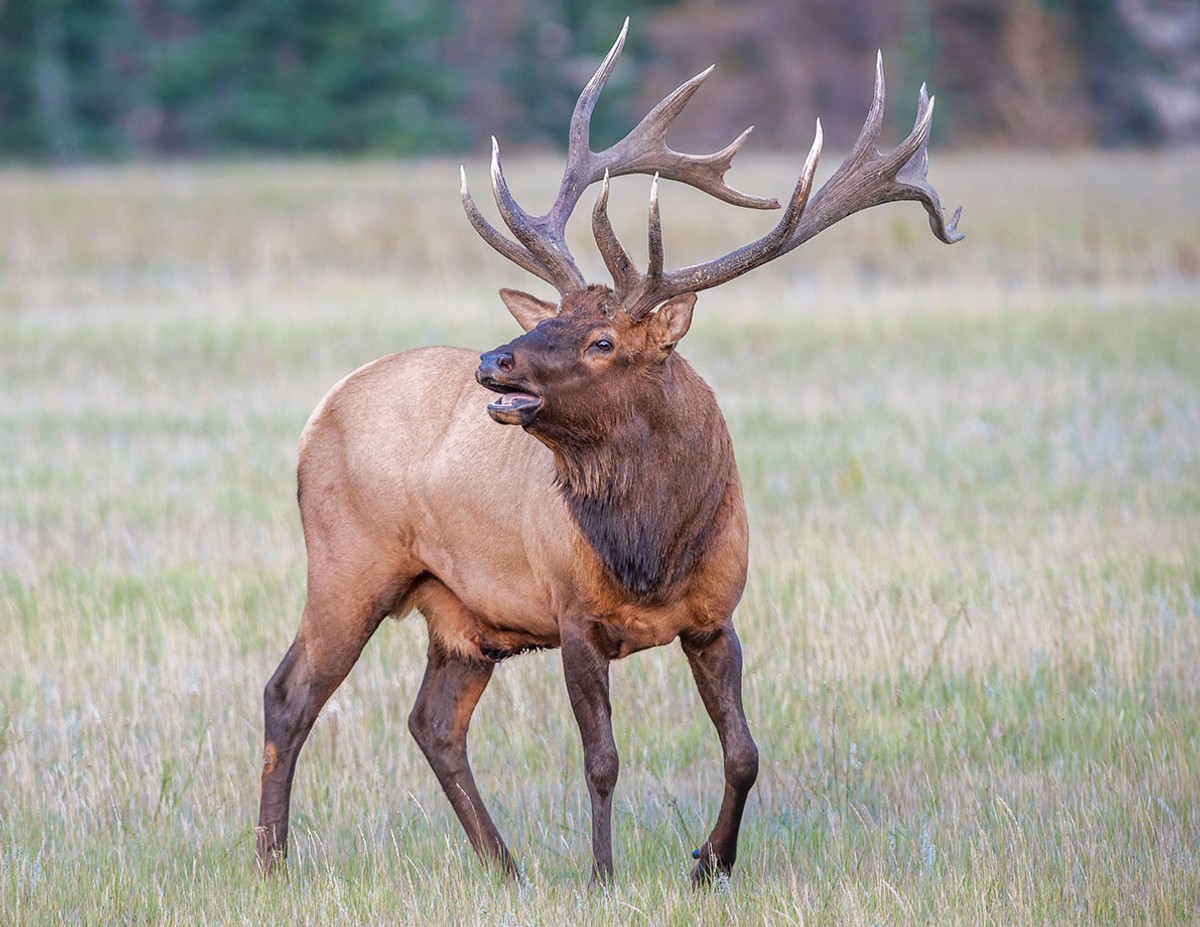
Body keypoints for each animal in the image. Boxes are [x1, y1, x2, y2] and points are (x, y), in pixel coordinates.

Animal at [255, 16, 964, 883]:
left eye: (600, 339)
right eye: (551, 317)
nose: (494, 361)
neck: (650, 548)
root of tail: (318, 412)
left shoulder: (716, 614)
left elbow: (743, 752)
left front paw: (710, 862)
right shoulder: (573, 615)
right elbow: (602, 760)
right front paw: (602, 875)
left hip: (460, 611)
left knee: (432, 722)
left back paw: (504, 864)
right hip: (348, 562)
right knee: (289, 694)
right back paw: (272, 859)